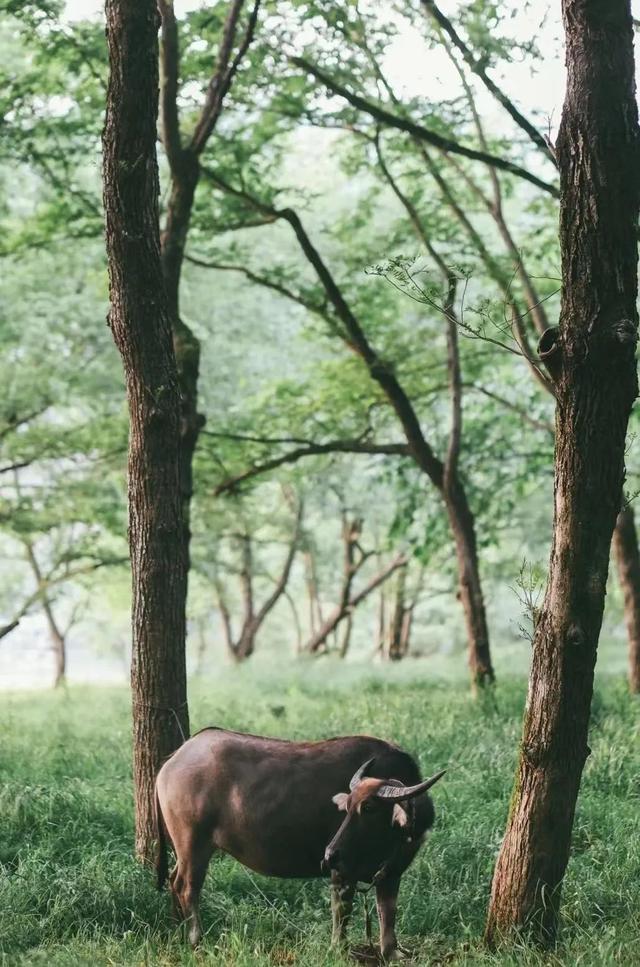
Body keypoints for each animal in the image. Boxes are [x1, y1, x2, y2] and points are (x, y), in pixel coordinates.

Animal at [155, 728, 444, 956]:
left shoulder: (390, 874)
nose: (329, 854)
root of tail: (171, 762)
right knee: (186, 887)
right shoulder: (343, 873)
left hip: (186, 850)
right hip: (193, 845)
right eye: (349, 807)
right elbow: (342, 912)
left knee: (173, 879)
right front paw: (338, 949)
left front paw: (391, 953)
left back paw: (178, 930)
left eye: (369, 807)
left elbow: (388, 914)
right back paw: (196, 939)